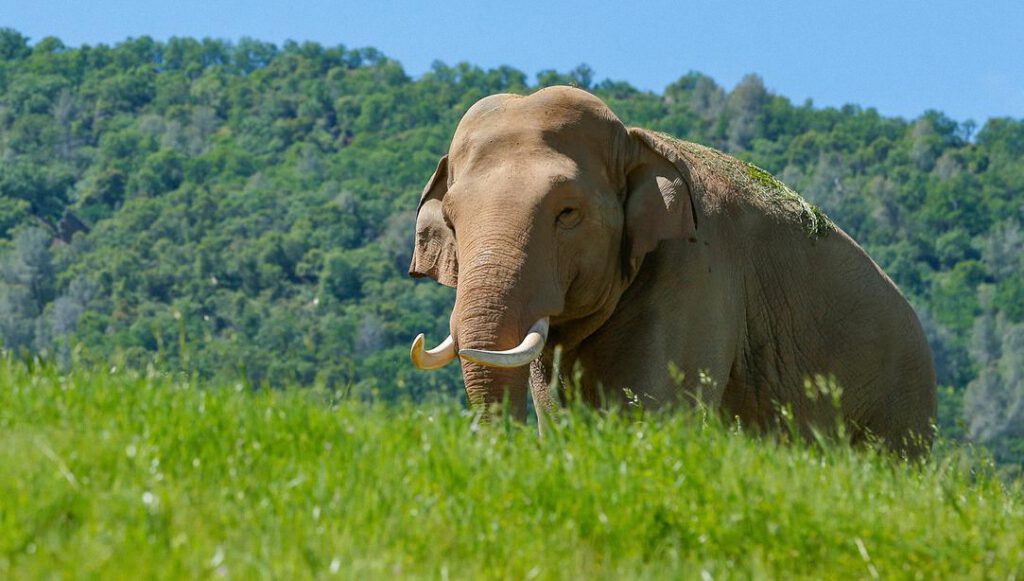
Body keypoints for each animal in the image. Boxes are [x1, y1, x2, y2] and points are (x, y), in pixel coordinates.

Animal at [407, 86, 937, 459]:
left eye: (568, 213)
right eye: (451, 220)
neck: (638, 142)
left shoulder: (697, 275)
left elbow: (654, 405)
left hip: (900, 407)